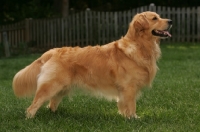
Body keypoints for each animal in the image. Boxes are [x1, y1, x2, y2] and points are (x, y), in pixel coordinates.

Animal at [12, 11, 172, 118]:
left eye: (160, 16)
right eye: (154, 18)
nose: (170, 21)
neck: (140, 45)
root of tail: (52, 51)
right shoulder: (128, 87)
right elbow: (131, 105)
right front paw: (133, 118)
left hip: (61, 87)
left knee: (51, 104)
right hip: (51, 85)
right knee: (32, 106)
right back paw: (30, 119)